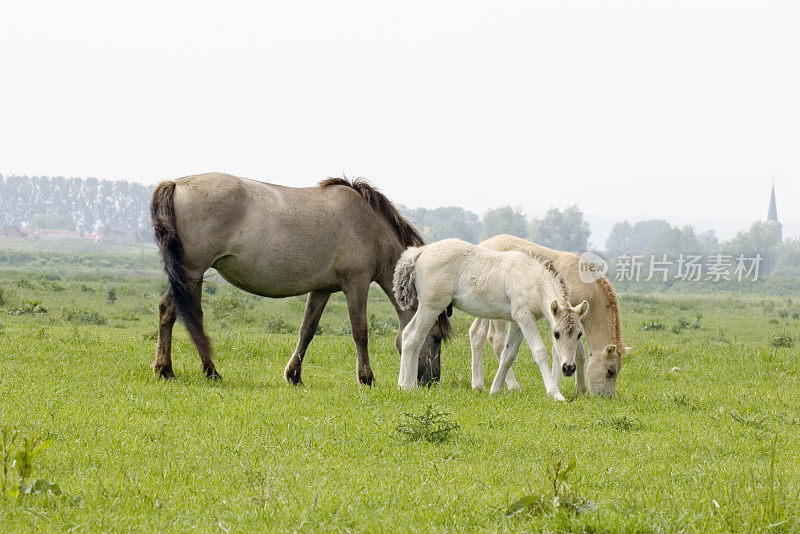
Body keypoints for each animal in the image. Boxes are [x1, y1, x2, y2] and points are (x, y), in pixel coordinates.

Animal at [149, 174, 450, 388]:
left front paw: (294, 375)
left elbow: (307, 330)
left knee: (170, 311)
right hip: (192, 273)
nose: (432, 382)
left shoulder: (322, 289)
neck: (368, 225)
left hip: (190, 275)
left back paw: (169, 369)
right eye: (435, 338)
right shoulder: (357, 284)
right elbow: (360, 331)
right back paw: (198, 370)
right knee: (182, 314)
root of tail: (176, 184)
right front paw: (366, 378)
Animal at [394, 240, 588, 402]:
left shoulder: (517, 322)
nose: (569, 368)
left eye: (579, 334)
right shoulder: (524, 316)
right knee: (413, 336)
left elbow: (508, 354)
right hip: (431, 306)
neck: (533, 279)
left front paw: (495, 390)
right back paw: (408, 386)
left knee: (408, 334)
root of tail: (420, 251)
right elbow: (539, 351)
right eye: (556, 334)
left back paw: (401, 384)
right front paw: (555, 393)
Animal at [472, 236, 628, 398]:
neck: (588, 287)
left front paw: (580, 389)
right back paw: (512, 386)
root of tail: (484, 243)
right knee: (496, 339)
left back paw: (477, 384)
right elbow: (560, 351)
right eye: (610, 371)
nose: (607, 397)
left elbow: (579, 353)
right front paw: (557, 386)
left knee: (476, 333)